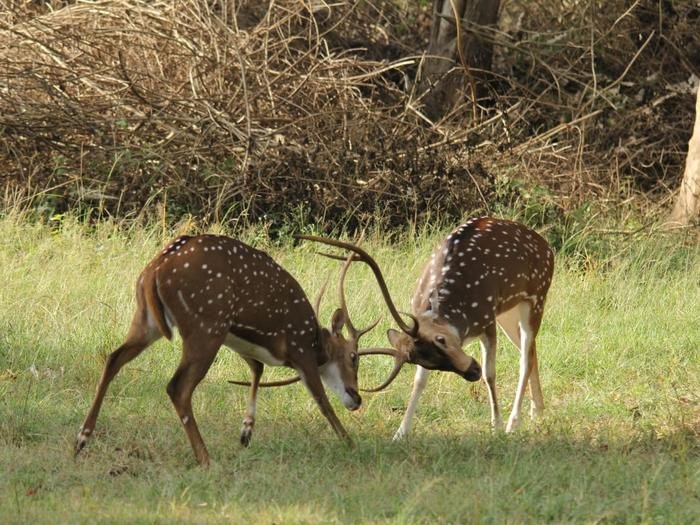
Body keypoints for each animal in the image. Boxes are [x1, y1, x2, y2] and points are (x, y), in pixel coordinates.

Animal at [74, 234, 378, 466]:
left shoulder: (244, 343)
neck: (313, 340)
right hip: (206, 325)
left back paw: (81, 439)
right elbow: (322, 400)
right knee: (177, 386)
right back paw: (205, 458)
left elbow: (257, 369)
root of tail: (155, 269)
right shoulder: (298, 349)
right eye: (353, 357)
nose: (357, 398)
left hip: (146, 319)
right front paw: (351, 444)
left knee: (113, 358)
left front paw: (246, 432)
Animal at [297, 216, 554, 438]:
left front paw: (497, 427)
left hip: (536, 297)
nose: (472, 371)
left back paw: (515, 422)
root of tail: (546, 246)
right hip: (509, 313)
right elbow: (419, 382)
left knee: (525, 358)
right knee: (531, 351)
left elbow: (490, 375)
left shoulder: (487, 318)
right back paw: (538, 412)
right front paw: (400, 433)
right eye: (427, 360)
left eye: (442, 339)